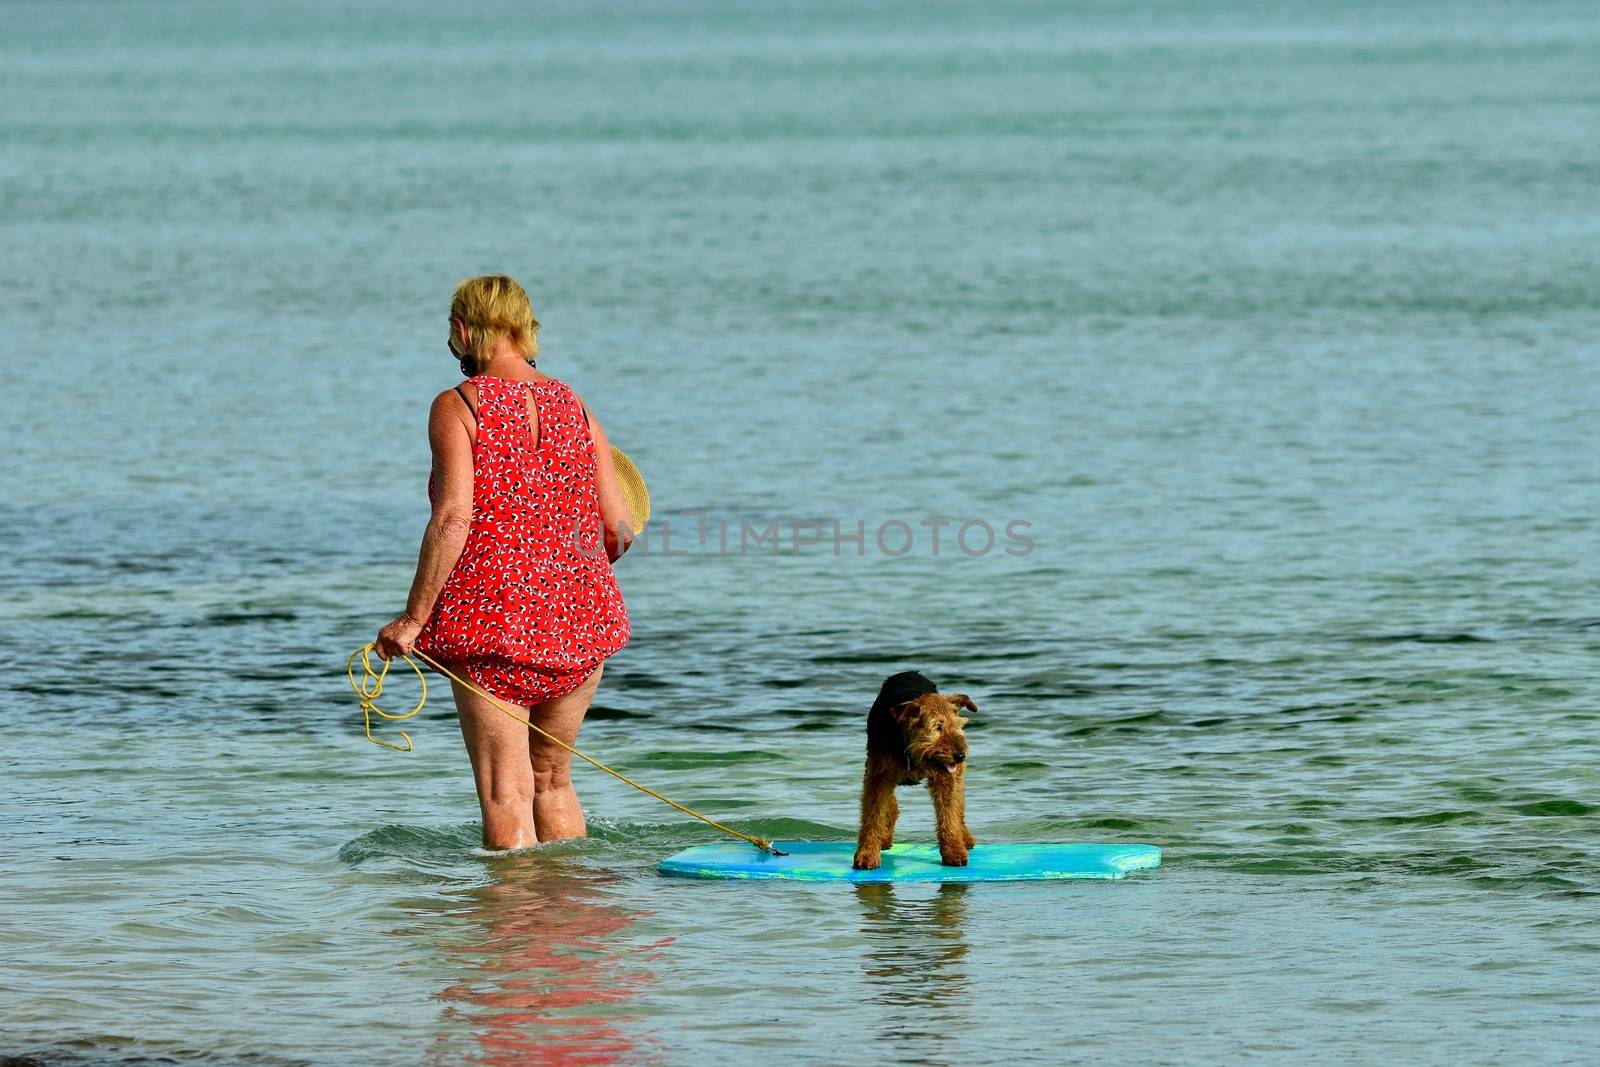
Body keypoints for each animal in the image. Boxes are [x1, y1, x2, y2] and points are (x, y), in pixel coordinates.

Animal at [851, 671, 972, 870]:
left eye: (958, 725)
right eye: (937, 727)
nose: (961, 756)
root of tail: (910, 672)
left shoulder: (944, 778)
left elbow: (948, 815)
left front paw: (954, 852)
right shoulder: (878, 777)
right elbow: (873, 816)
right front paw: (867, 855)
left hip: (958, 776)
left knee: (958, 809)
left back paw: (966, 839)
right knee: (891, 808)